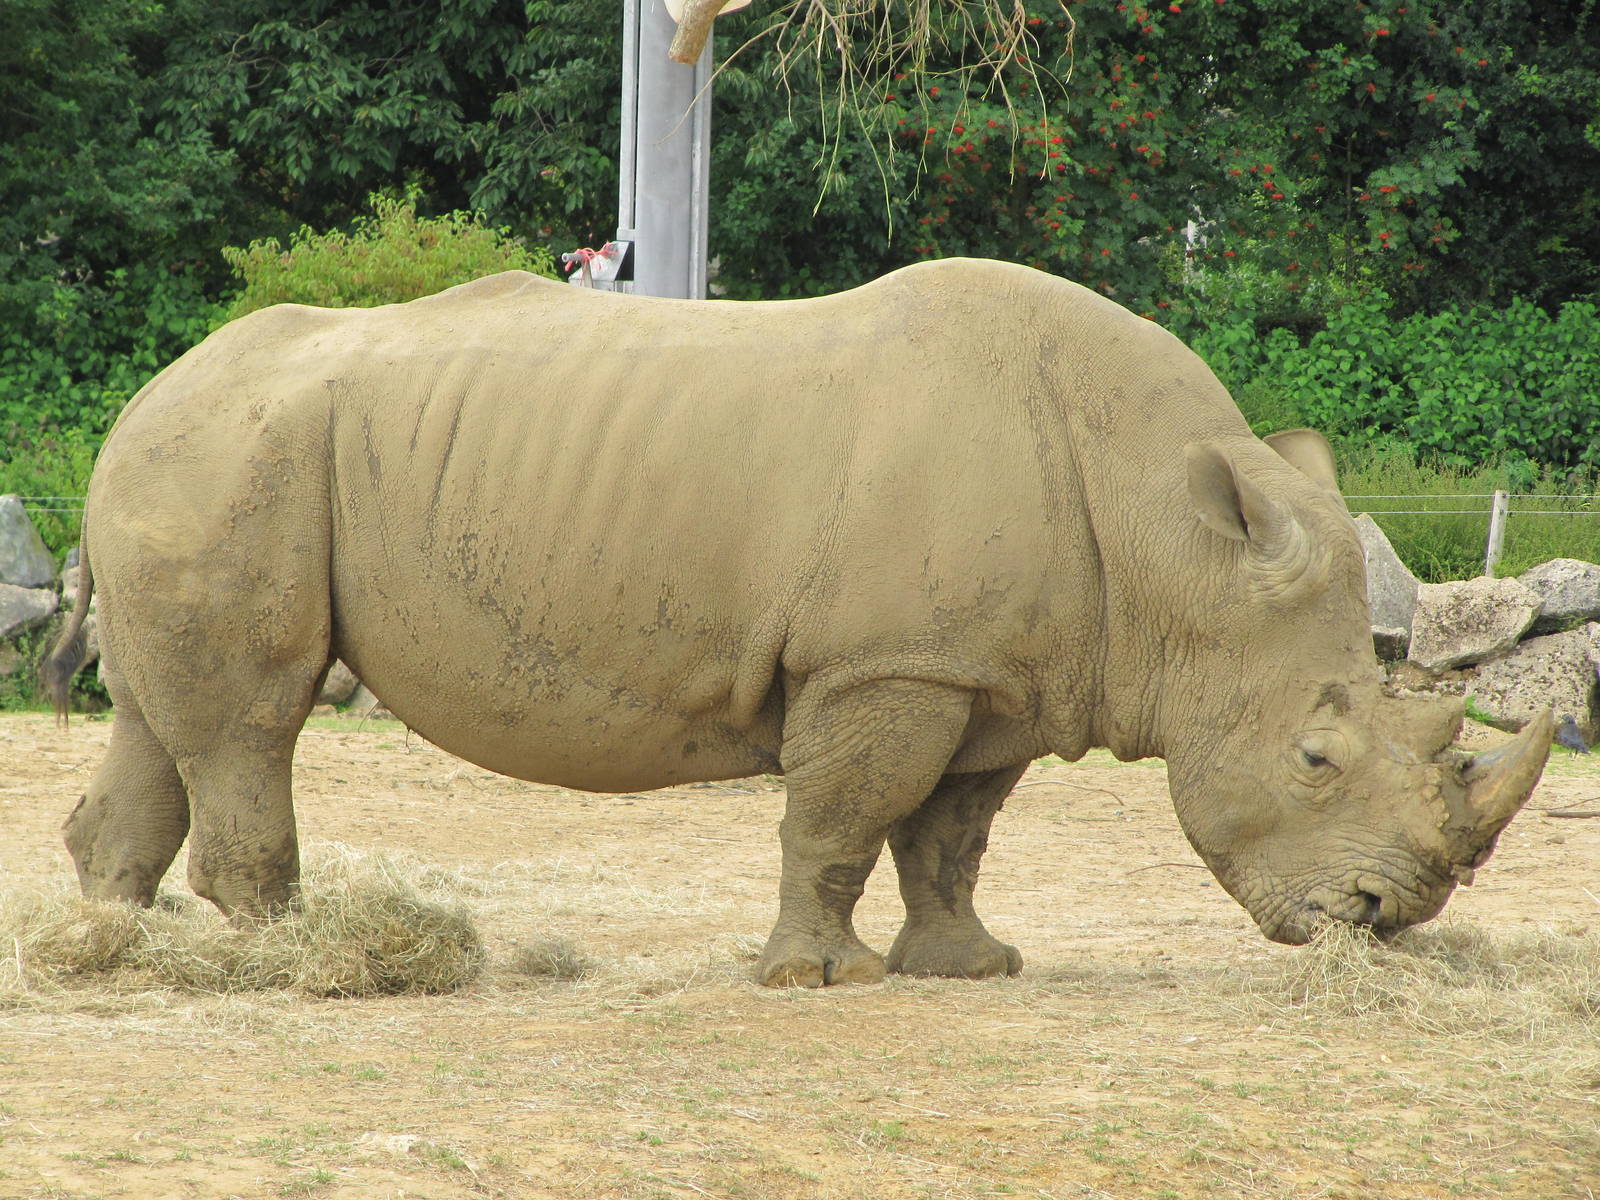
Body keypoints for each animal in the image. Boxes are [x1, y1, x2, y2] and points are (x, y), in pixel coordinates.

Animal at [43, 259, 1550, 987]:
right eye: (1314, 759)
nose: (1383, 921)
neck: (1169, 545)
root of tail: (136, 402)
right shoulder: (886, 665)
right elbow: (842, 815)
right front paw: (815, 982)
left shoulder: (992, 676)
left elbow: (950, 834)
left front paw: (971, 970)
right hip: (235, 458)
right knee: (252, 718)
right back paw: (294, 962)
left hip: (199, 462)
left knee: (160, 721)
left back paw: (115, 955)